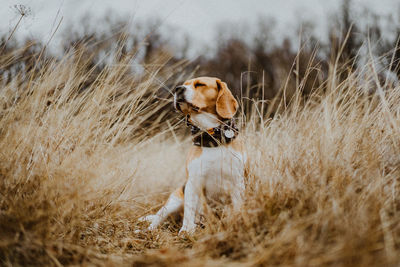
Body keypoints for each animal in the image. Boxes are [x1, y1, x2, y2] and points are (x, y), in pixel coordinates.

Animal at [141, 77, 247, 234]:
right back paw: (148, 230)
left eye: (200, 84)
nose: (178, 89)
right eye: (184, 84)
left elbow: (238, 207)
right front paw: (186, 231)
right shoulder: (194, 181)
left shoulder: (237, 183)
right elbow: (190, 210)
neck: (212, 139)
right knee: (158, 218)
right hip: (173, 202)